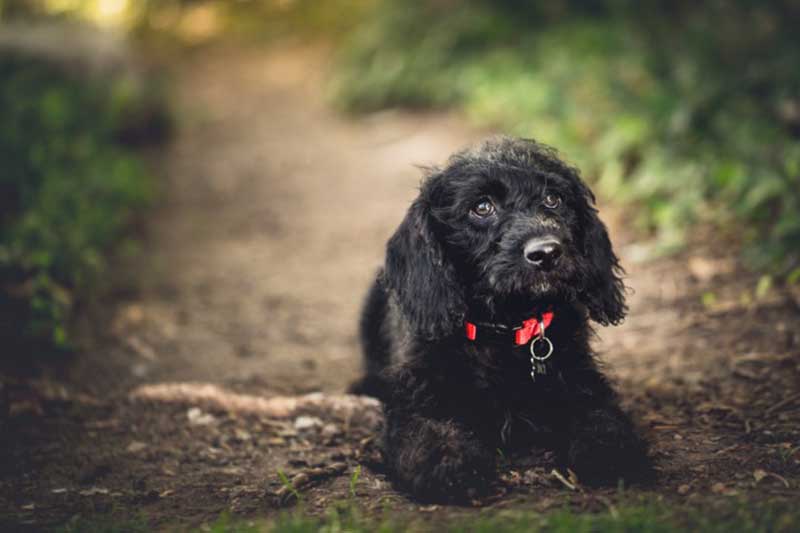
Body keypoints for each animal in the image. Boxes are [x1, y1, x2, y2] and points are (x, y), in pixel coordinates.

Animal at [354, 135, 652, 500]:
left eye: (553, 199)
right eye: (482, 207)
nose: (547, 253)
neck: (504, 329)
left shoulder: (581, 381)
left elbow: (602, 417)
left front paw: (611, 451)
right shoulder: (415, 401)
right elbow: (428, 435)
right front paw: (451, 466)